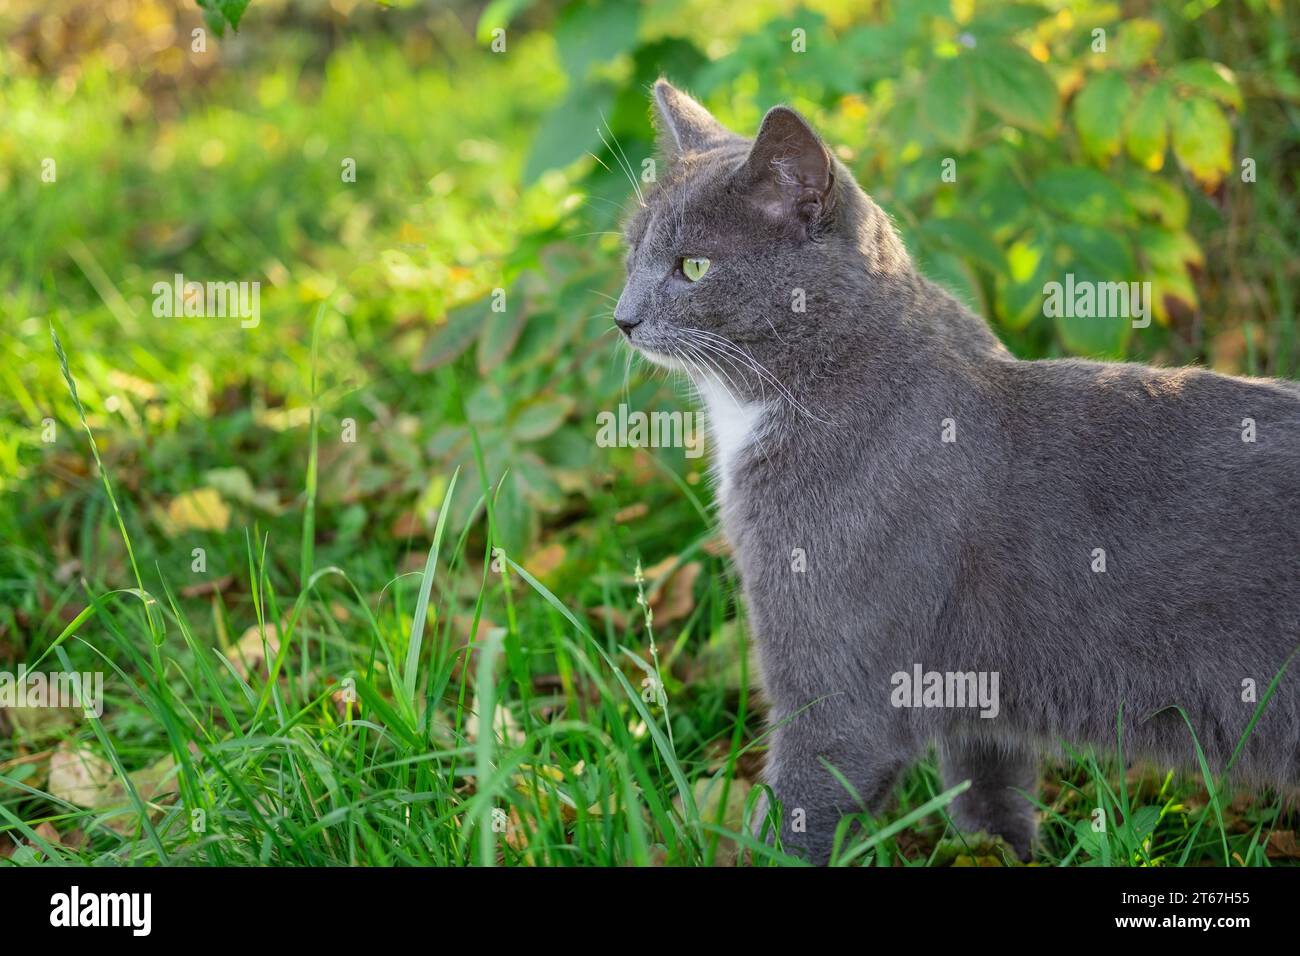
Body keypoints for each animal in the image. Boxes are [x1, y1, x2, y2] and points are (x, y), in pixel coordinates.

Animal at [613, 78, 1300, 863]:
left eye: (692, 267)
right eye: (632, 252)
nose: (622, 318)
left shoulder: (841, 699)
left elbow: (798, 814)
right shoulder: (971, 696)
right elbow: (987, 792)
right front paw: (1001, 847)